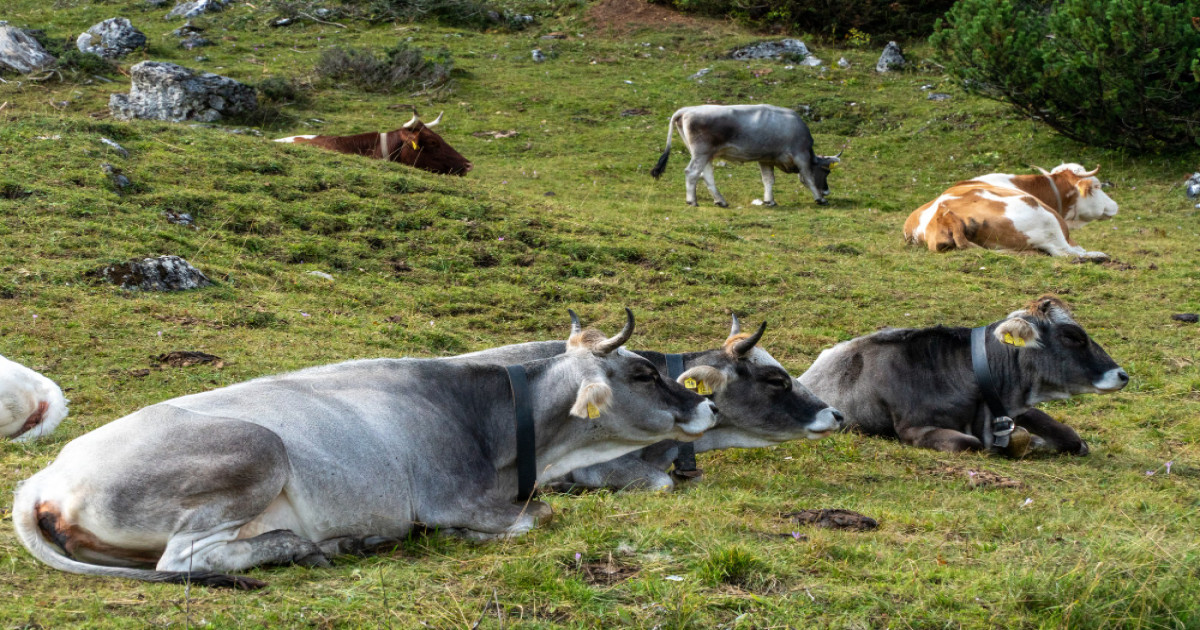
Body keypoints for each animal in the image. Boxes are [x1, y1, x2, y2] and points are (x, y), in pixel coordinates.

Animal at [13, 311, 716, 588]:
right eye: (643, 374)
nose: (705, 405)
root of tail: (43, 479)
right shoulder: (451, 499)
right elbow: (539, 516)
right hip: (258, 449)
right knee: (184, 560)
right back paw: (310, 546)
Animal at [650, 104, 841, 207]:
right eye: (827, 171)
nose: (827, 191)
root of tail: (687, 110)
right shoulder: (801, 155)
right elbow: (808, 177)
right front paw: (819, 198)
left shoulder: (766, 159)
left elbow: (768, 180)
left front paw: (769, 201)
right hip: (701, 152)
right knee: (692, 173)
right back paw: (692, 201)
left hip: (705, 154)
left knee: (706, 175)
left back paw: (720, 201)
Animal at [799, 296, 1127, 457]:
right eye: (1073, 336)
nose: (1122, 375)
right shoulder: (913, 429)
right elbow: (970, 444)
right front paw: (1031, 442)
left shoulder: (1013, 408)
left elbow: (1071, 437)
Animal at [903, 163, 1118, 260]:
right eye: (1097, 186)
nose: (1115, 205)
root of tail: (945, 217)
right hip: (1044, 219)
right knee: (1066, 252)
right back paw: (1099, 255)